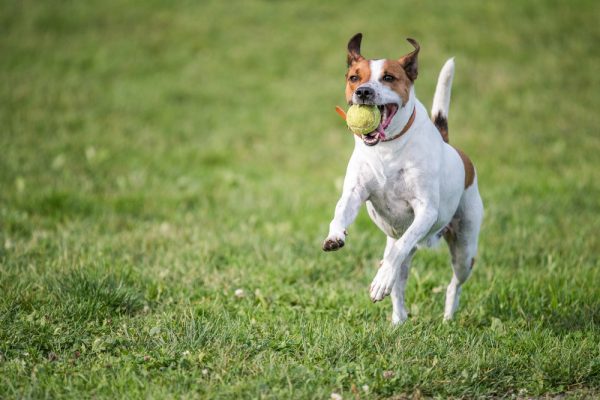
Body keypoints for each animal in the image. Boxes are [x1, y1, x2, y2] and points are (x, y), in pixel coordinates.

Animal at [324, 32, 482, 324]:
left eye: (389, 77)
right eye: (354, 77)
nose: (364, 92)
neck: (387, 148)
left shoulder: (426, 211)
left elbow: (400, 249)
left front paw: (380, 281)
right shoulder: (355, 192)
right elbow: (340, 212)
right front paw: (335, 236)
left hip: (464, 248)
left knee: (452, 280)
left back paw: (447, 315)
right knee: (399, 277)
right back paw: (398, 319)